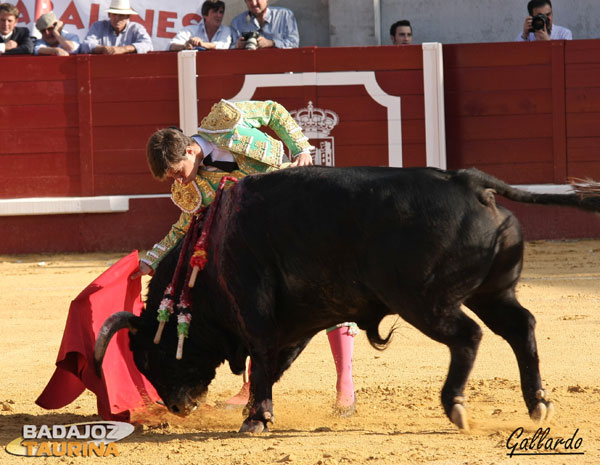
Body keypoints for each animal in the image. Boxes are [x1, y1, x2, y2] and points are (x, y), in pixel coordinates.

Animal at [94, 167, 600, 432]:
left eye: (147, 355)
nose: (178, 407)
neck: (211, 250)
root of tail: (469, 182)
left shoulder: (254, 307)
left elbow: (261, 356)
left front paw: (256, 419)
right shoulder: (297, 321)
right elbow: (273, 363)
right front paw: (259, 410)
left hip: (424, 300)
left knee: (468, 336)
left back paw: (455, 404)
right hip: (492, 292)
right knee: (521, 326)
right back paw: (538, 403)